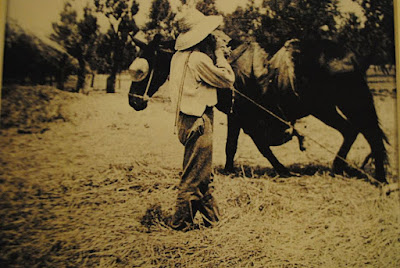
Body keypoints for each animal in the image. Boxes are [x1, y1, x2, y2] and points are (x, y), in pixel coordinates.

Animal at [127, 34, 388, 183]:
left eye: (143, 68)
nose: (133, 101)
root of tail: (353, 56)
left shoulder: (240, 114)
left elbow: (241, 145)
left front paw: (277, 170)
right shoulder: (242, 117)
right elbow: (246, 145)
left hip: (339, 106)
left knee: (369, 134)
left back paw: (378, 177)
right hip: (330, 108)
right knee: (353, 131)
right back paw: (340, 167)